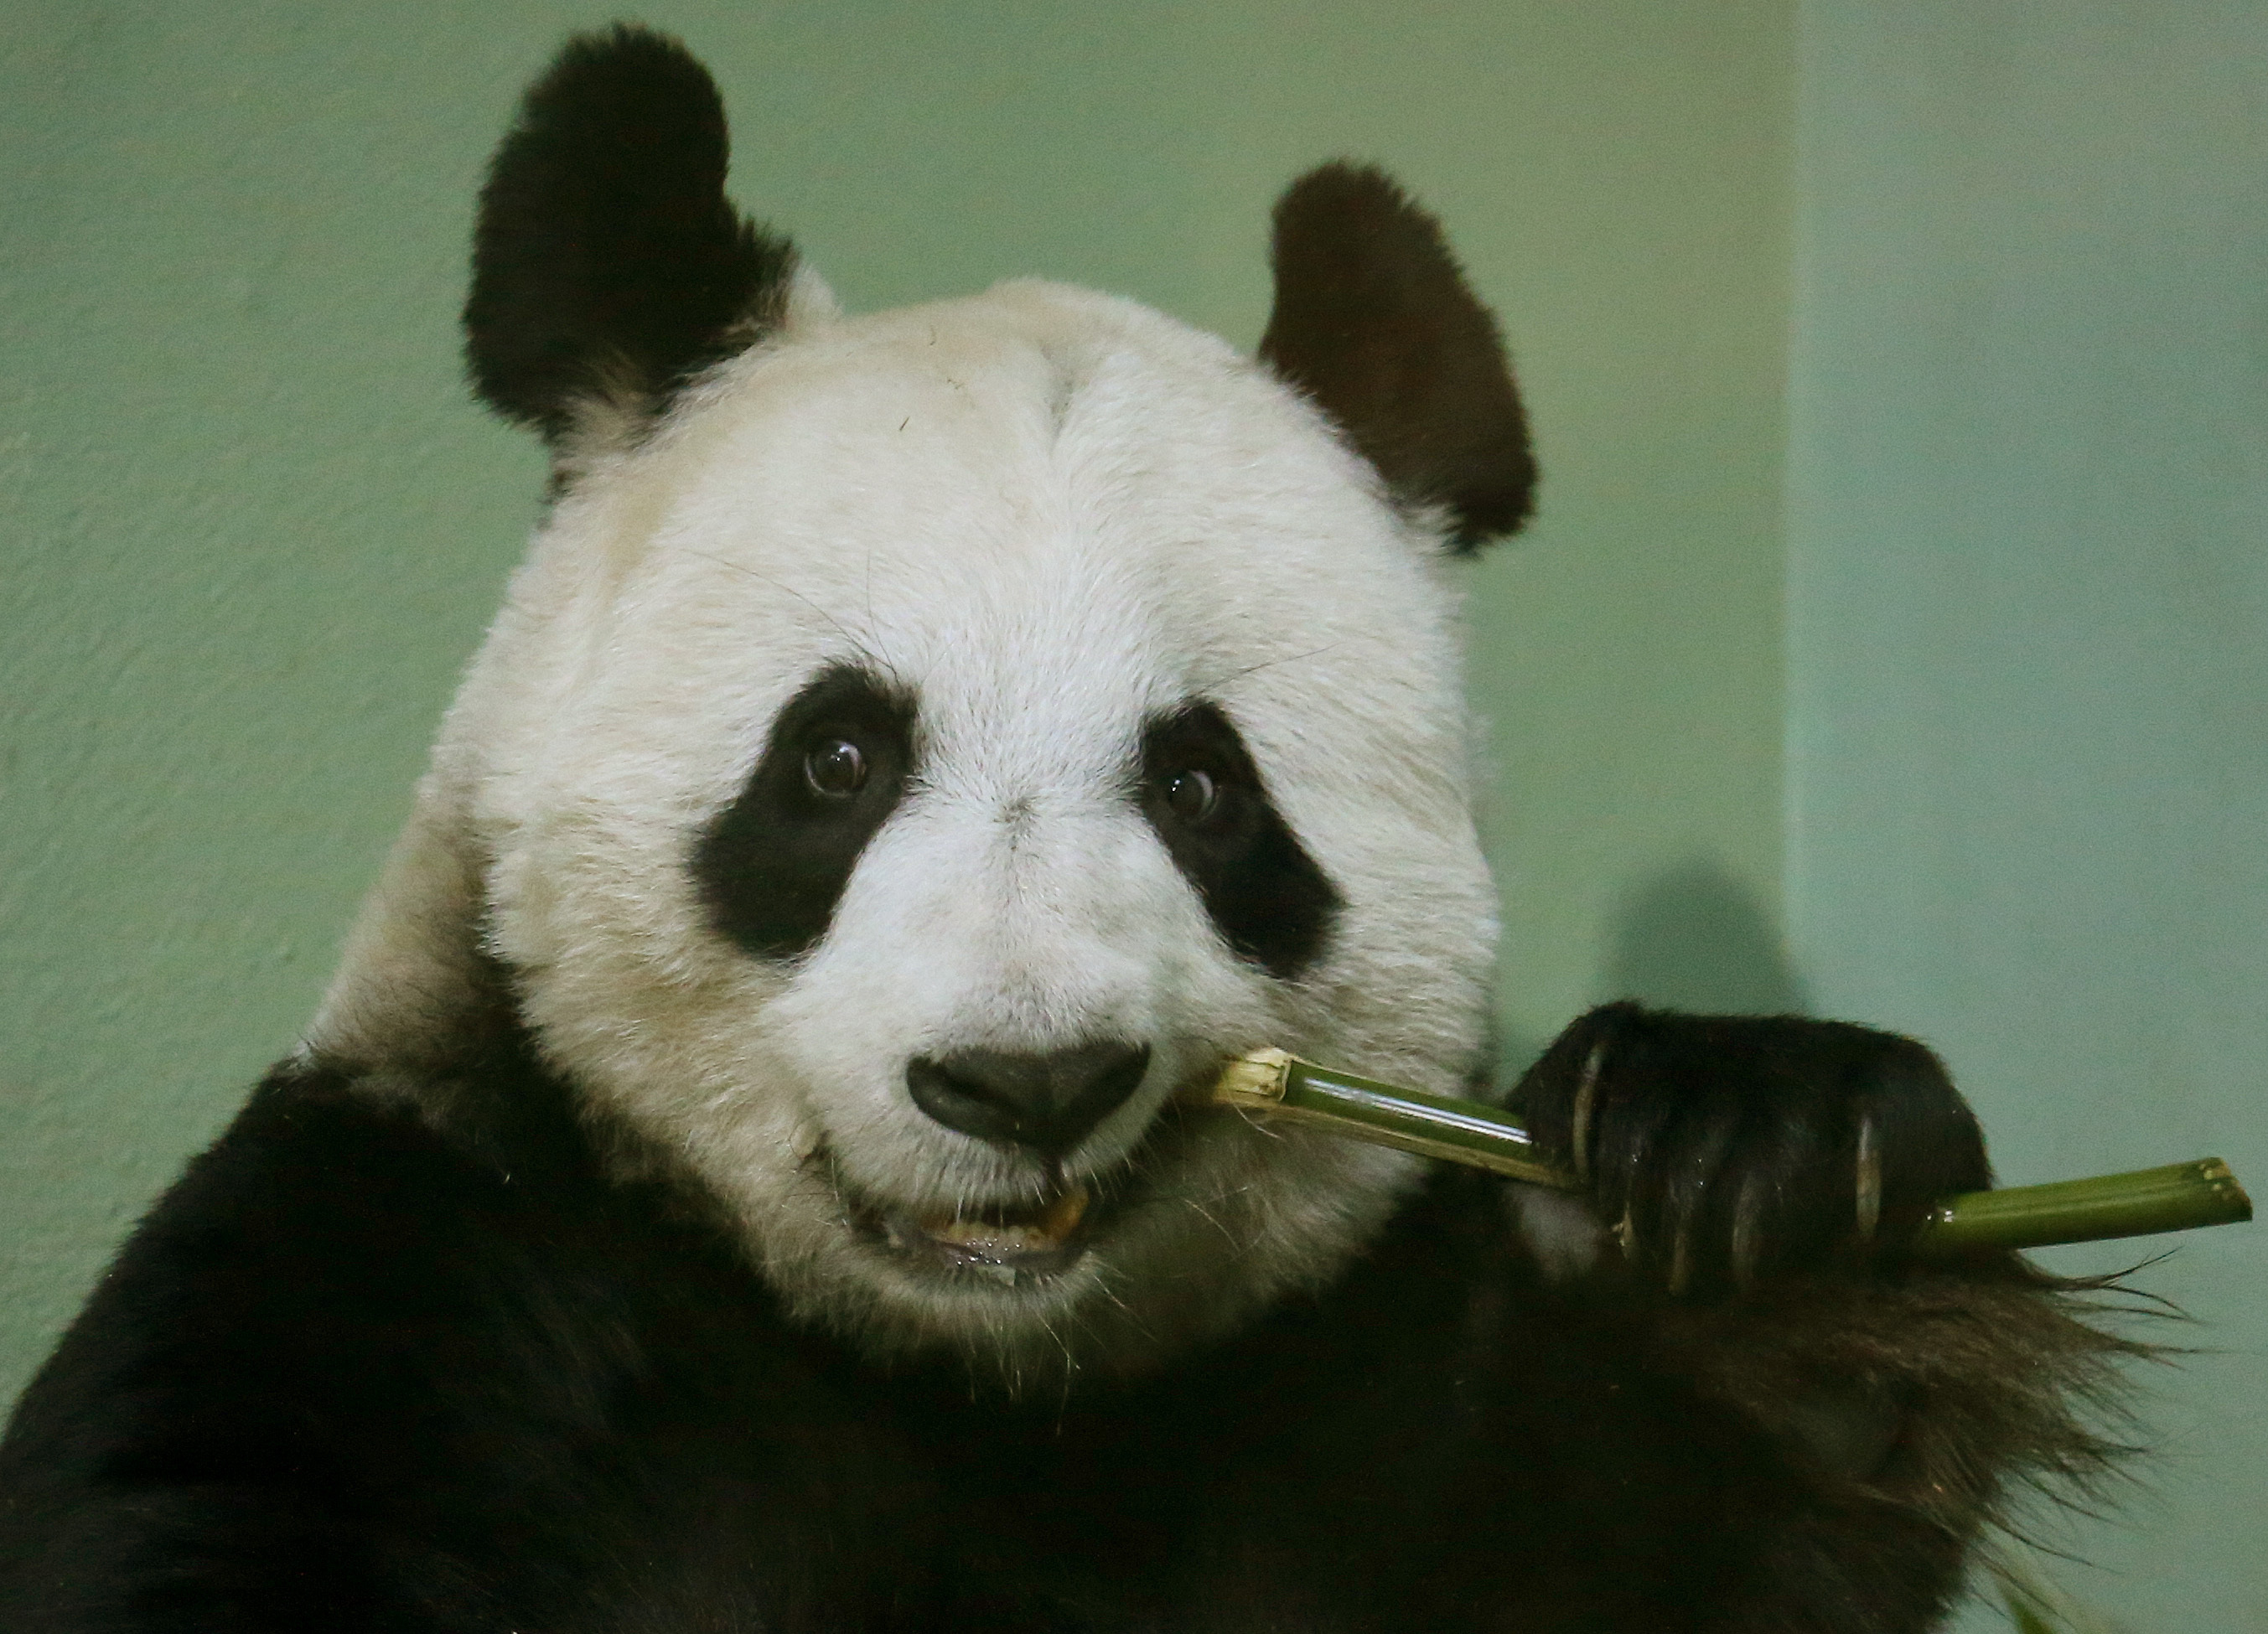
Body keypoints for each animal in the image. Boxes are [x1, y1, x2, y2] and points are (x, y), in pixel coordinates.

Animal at [0, 28, 2122, 1631]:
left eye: (1202, 788)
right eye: (835, 760)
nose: (1023, 1082)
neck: (987, 1381)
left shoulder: (1340, 1416)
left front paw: (1758, 1174)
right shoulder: (443, 1278)